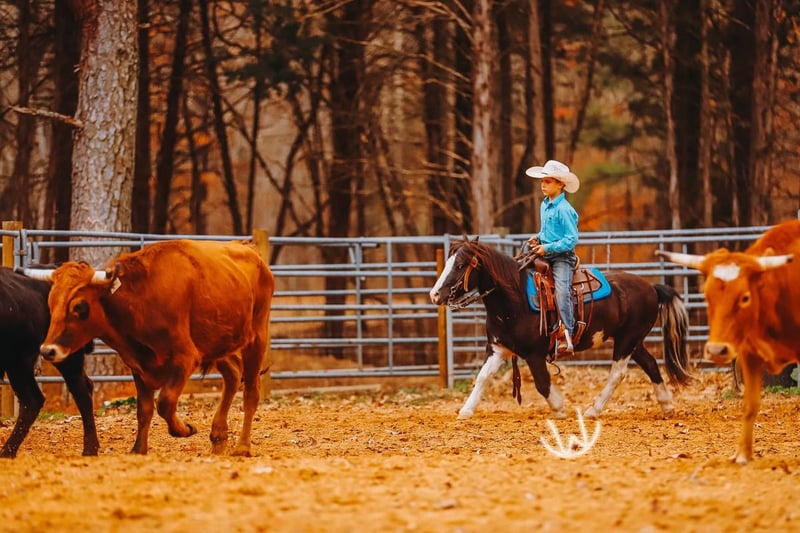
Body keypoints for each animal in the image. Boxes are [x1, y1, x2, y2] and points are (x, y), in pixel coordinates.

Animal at [429, 237, 692, 420]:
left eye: (460, 265)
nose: (435, 294)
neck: (513, 301)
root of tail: (652, 287)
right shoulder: (498, 348)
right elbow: (483, 377)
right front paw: (466, 410)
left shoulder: (534, 354)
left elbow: (542, 382)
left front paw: (559, 408)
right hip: (633, 341)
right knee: (650, 364)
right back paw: (667, 405)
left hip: (627, 340)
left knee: (618, 373)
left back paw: (593, 410)